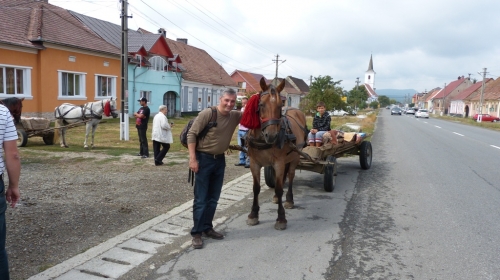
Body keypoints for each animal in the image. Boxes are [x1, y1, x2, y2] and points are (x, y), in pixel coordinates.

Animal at [242, 77, 308, 230]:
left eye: (279, 106)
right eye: (261, 104)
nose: (271, 135)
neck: (262, 140)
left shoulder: (278, 163)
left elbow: (278, 188)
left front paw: (281, 218)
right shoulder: (254, 164)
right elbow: (256, 188)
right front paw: (253, 214)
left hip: (295, 157)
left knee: (290, 176)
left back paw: (289, 199)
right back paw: (278, 199)